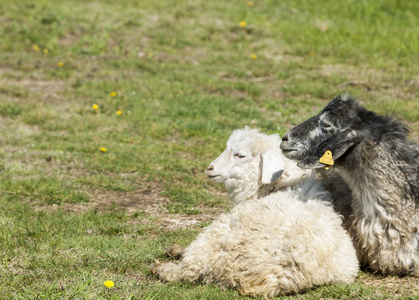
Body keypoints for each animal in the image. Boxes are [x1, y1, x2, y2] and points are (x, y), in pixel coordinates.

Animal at [153, 127, 360, 298]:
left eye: (240, 155)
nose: (210, 168)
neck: (284, 184)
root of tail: (274, 275)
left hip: (220, 233)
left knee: (189, 268)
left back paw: (162, 269)